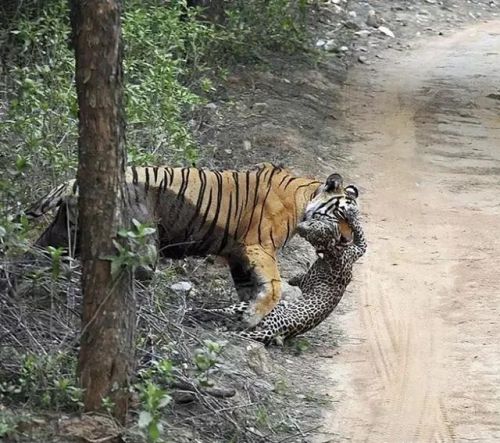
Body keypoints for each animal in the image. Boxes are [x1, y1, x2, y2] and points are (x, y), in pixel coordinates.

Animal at [25, 163, 354, 326]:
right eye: (342, 216)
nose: (348, 240)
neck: (304, 199)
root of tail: (72, 183)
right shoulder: (258, 247)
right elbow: (272, 287)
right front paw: (252, 318)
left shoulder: (238, 255)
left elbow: (250, 289)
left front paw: (243, 317)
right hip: (143, 245)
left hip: (62, 236)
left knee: (33, 257)